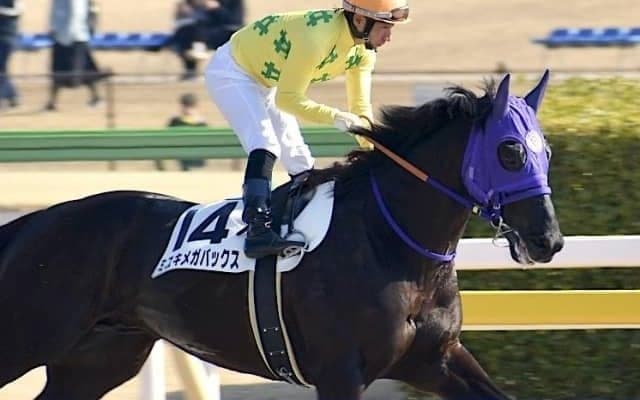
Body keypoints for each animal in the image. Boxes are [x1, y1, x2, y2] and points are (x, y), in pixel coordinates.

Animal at [0, 71, 564, 400]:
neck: (388, 242)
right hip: (30, 337)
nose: (549, 240)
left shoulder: (435, 360)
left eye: (548, 150)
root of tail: (37, 221)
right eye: (510, 151)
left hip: (98, 358)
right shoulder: (341, 373)